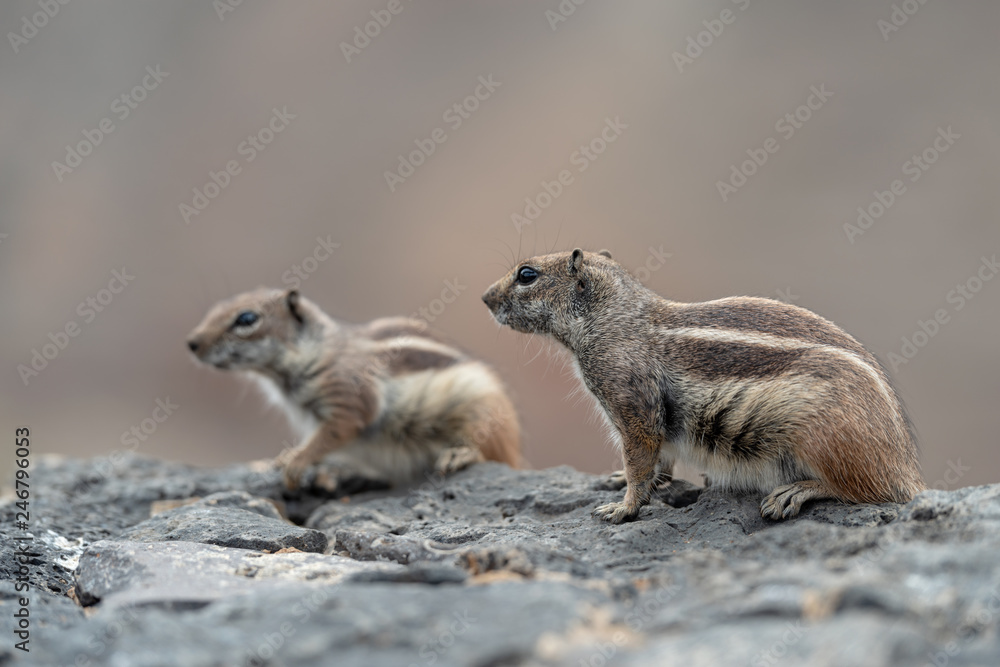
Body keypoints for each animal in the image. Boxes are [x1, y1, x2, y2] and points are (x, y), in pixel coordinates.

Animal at [187, 288, 521, 492]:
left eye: (246, 319)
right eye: (216, 309)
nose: (191, 343)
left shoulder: (349, 399)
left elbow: (332, 434)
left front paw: (296, 463)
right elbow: (314, 438)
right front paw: (286, 457)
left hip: (481, 411)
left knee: (487, 448)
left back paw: (460, 454)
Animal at [482, 249, 925, 522]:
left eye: (526, 275)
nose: (485, 297)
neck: (615, 317)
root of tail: (904, 467)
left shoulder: (632, 406)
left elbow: (641, 461)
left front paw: (622, 508)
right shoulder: (652, 423)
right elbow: (657, 462)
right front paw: (617, 480)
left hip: (824, 438)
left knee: (862, 489)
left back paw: (795, 492)